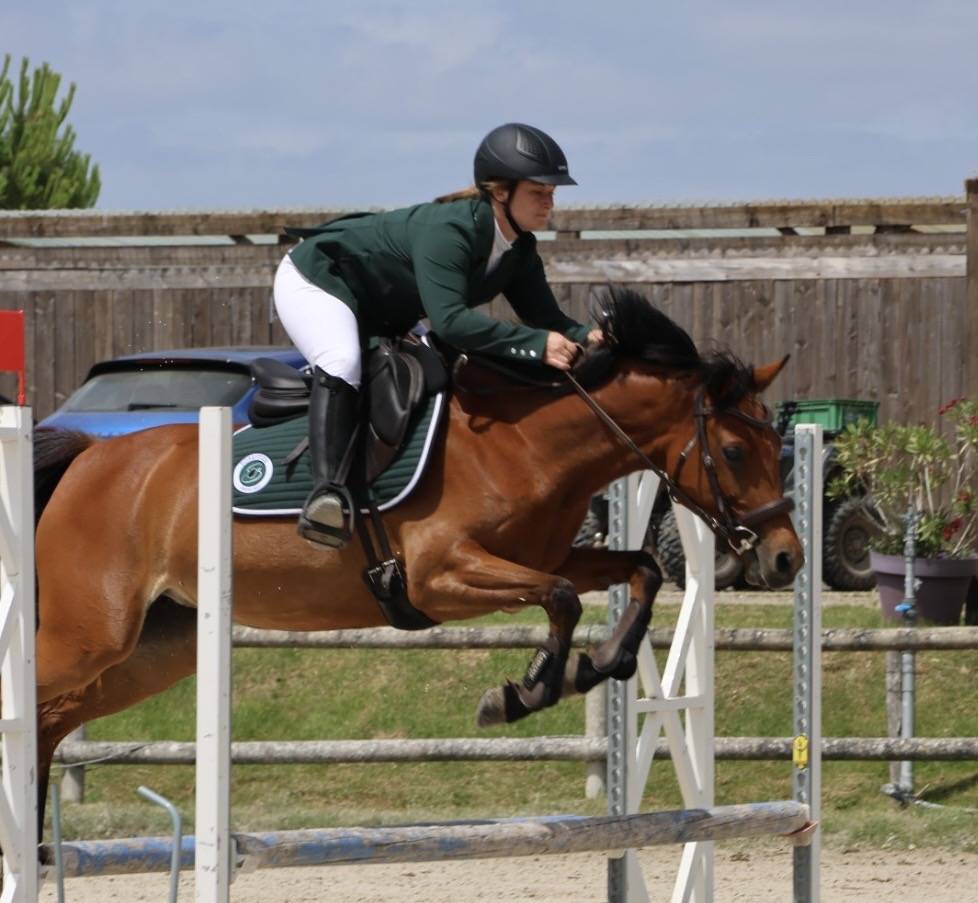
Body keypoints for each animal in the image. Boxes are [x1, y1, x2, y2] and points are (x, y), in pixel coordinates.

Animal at [30, 287, 802, 822]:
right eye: (735, 450)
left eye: (774, 443)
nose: (787, 558)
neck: (521, 441)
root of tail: (90, 454)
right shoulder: (437, 577)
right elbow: (559, 597)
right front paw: (522, 692)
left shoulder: (548, 553)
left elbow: (635, 569)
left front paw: (596, 665)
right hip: (89, 633)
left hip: (153, 648)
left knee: (52, 717)